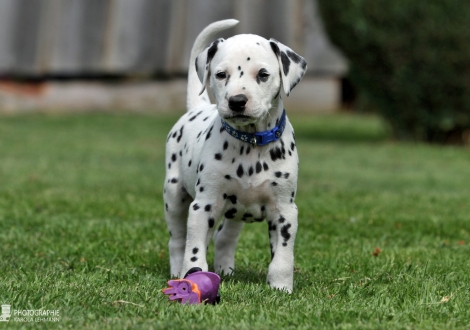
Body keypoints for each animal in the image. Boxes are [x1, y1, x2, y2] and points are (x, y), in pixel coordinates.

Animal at [163, 18, 306, 292]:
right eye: (221, 74)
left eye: (263, 74)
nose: (237, 101)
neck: (250, 144)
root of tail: (197, 107)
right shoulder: (203, 205)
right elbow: (194, 250)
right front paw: (193, 276)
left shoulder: (285, 210)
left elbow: (283, 256)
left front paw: (281, 286)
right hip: (174, 195)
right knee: (178, 240)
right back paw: (177, 271)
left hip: (234, 213)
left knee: (223, 237)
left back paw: (225, 270)